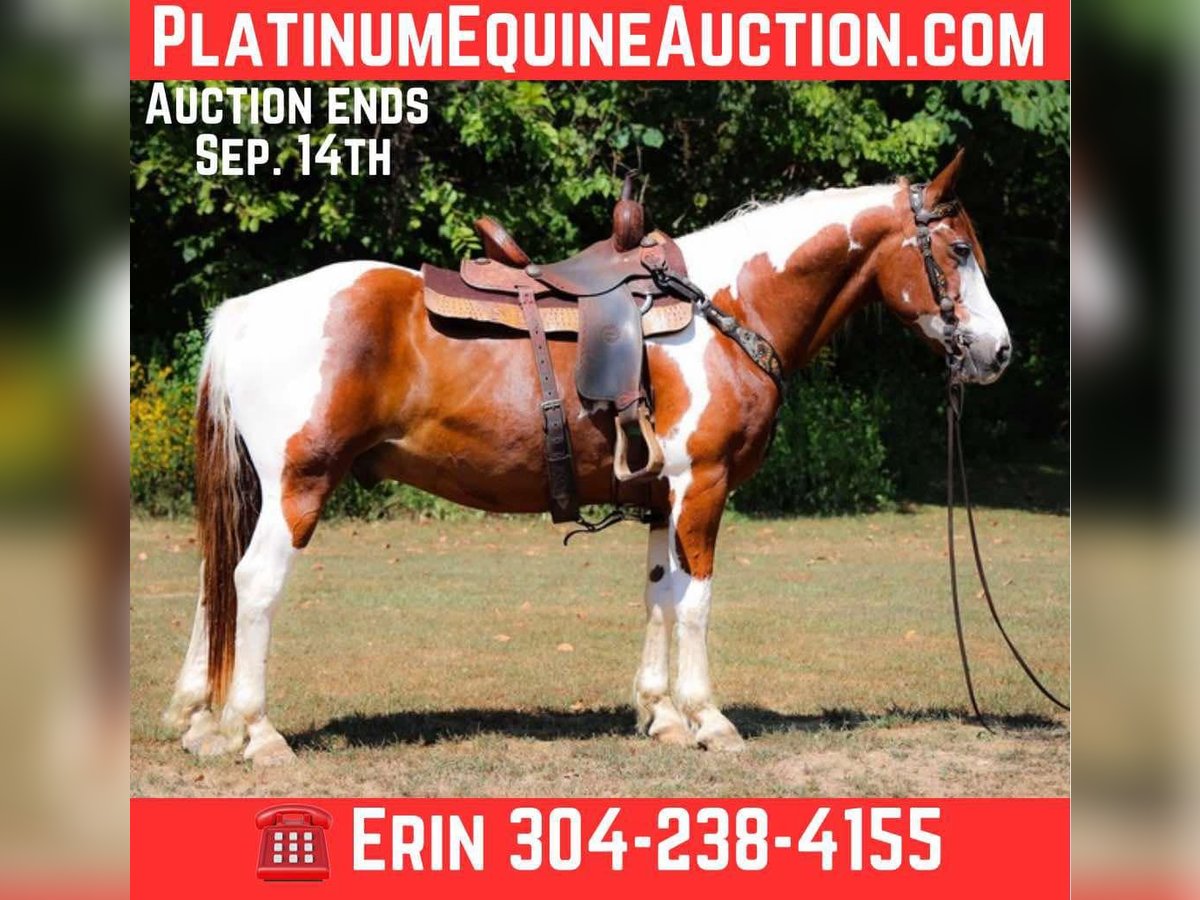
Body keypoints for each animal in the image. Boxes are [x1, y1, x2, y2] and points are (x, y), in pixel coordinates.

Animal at [161, 150, 1011, 765]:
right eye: (959, 249)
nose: (999, 352)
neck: (727, 308)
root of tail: (249, 310)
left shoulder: (663, 497)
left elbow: (660, 596)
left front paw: (662, 715)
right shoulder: (702, 487)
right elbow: (696, 603)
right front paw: (709, 719)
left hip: (257, 490)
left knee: (214, 584)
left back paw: (201, 722)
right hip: (299, 485)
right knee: (253, 584)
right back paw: (257, 732)